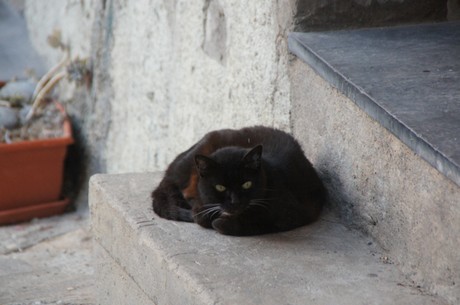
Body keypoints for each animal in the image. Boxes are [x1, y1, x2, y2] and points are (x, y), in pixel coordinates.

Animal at [153, 126, 326, 235]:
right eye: (220, 187)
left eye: (246, 184)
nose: (234, 201)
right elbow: (201, 215)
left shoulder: (294, 213)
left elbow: (256, 222)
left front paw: (221, 222)